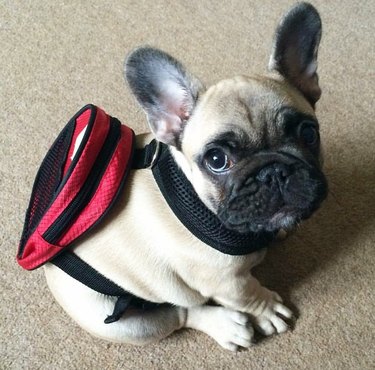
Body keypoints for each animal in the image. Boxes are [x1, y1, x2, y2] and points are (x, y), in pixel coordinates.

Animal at [43, 2, 326, 350]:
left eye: (308, 134)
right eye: (217, 160)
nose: (273, 171)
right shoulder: (225, 282)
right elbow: (248, 294)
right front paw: (268, 309)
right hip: (120, 320)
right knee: (181, 314)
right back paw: (226, 326)